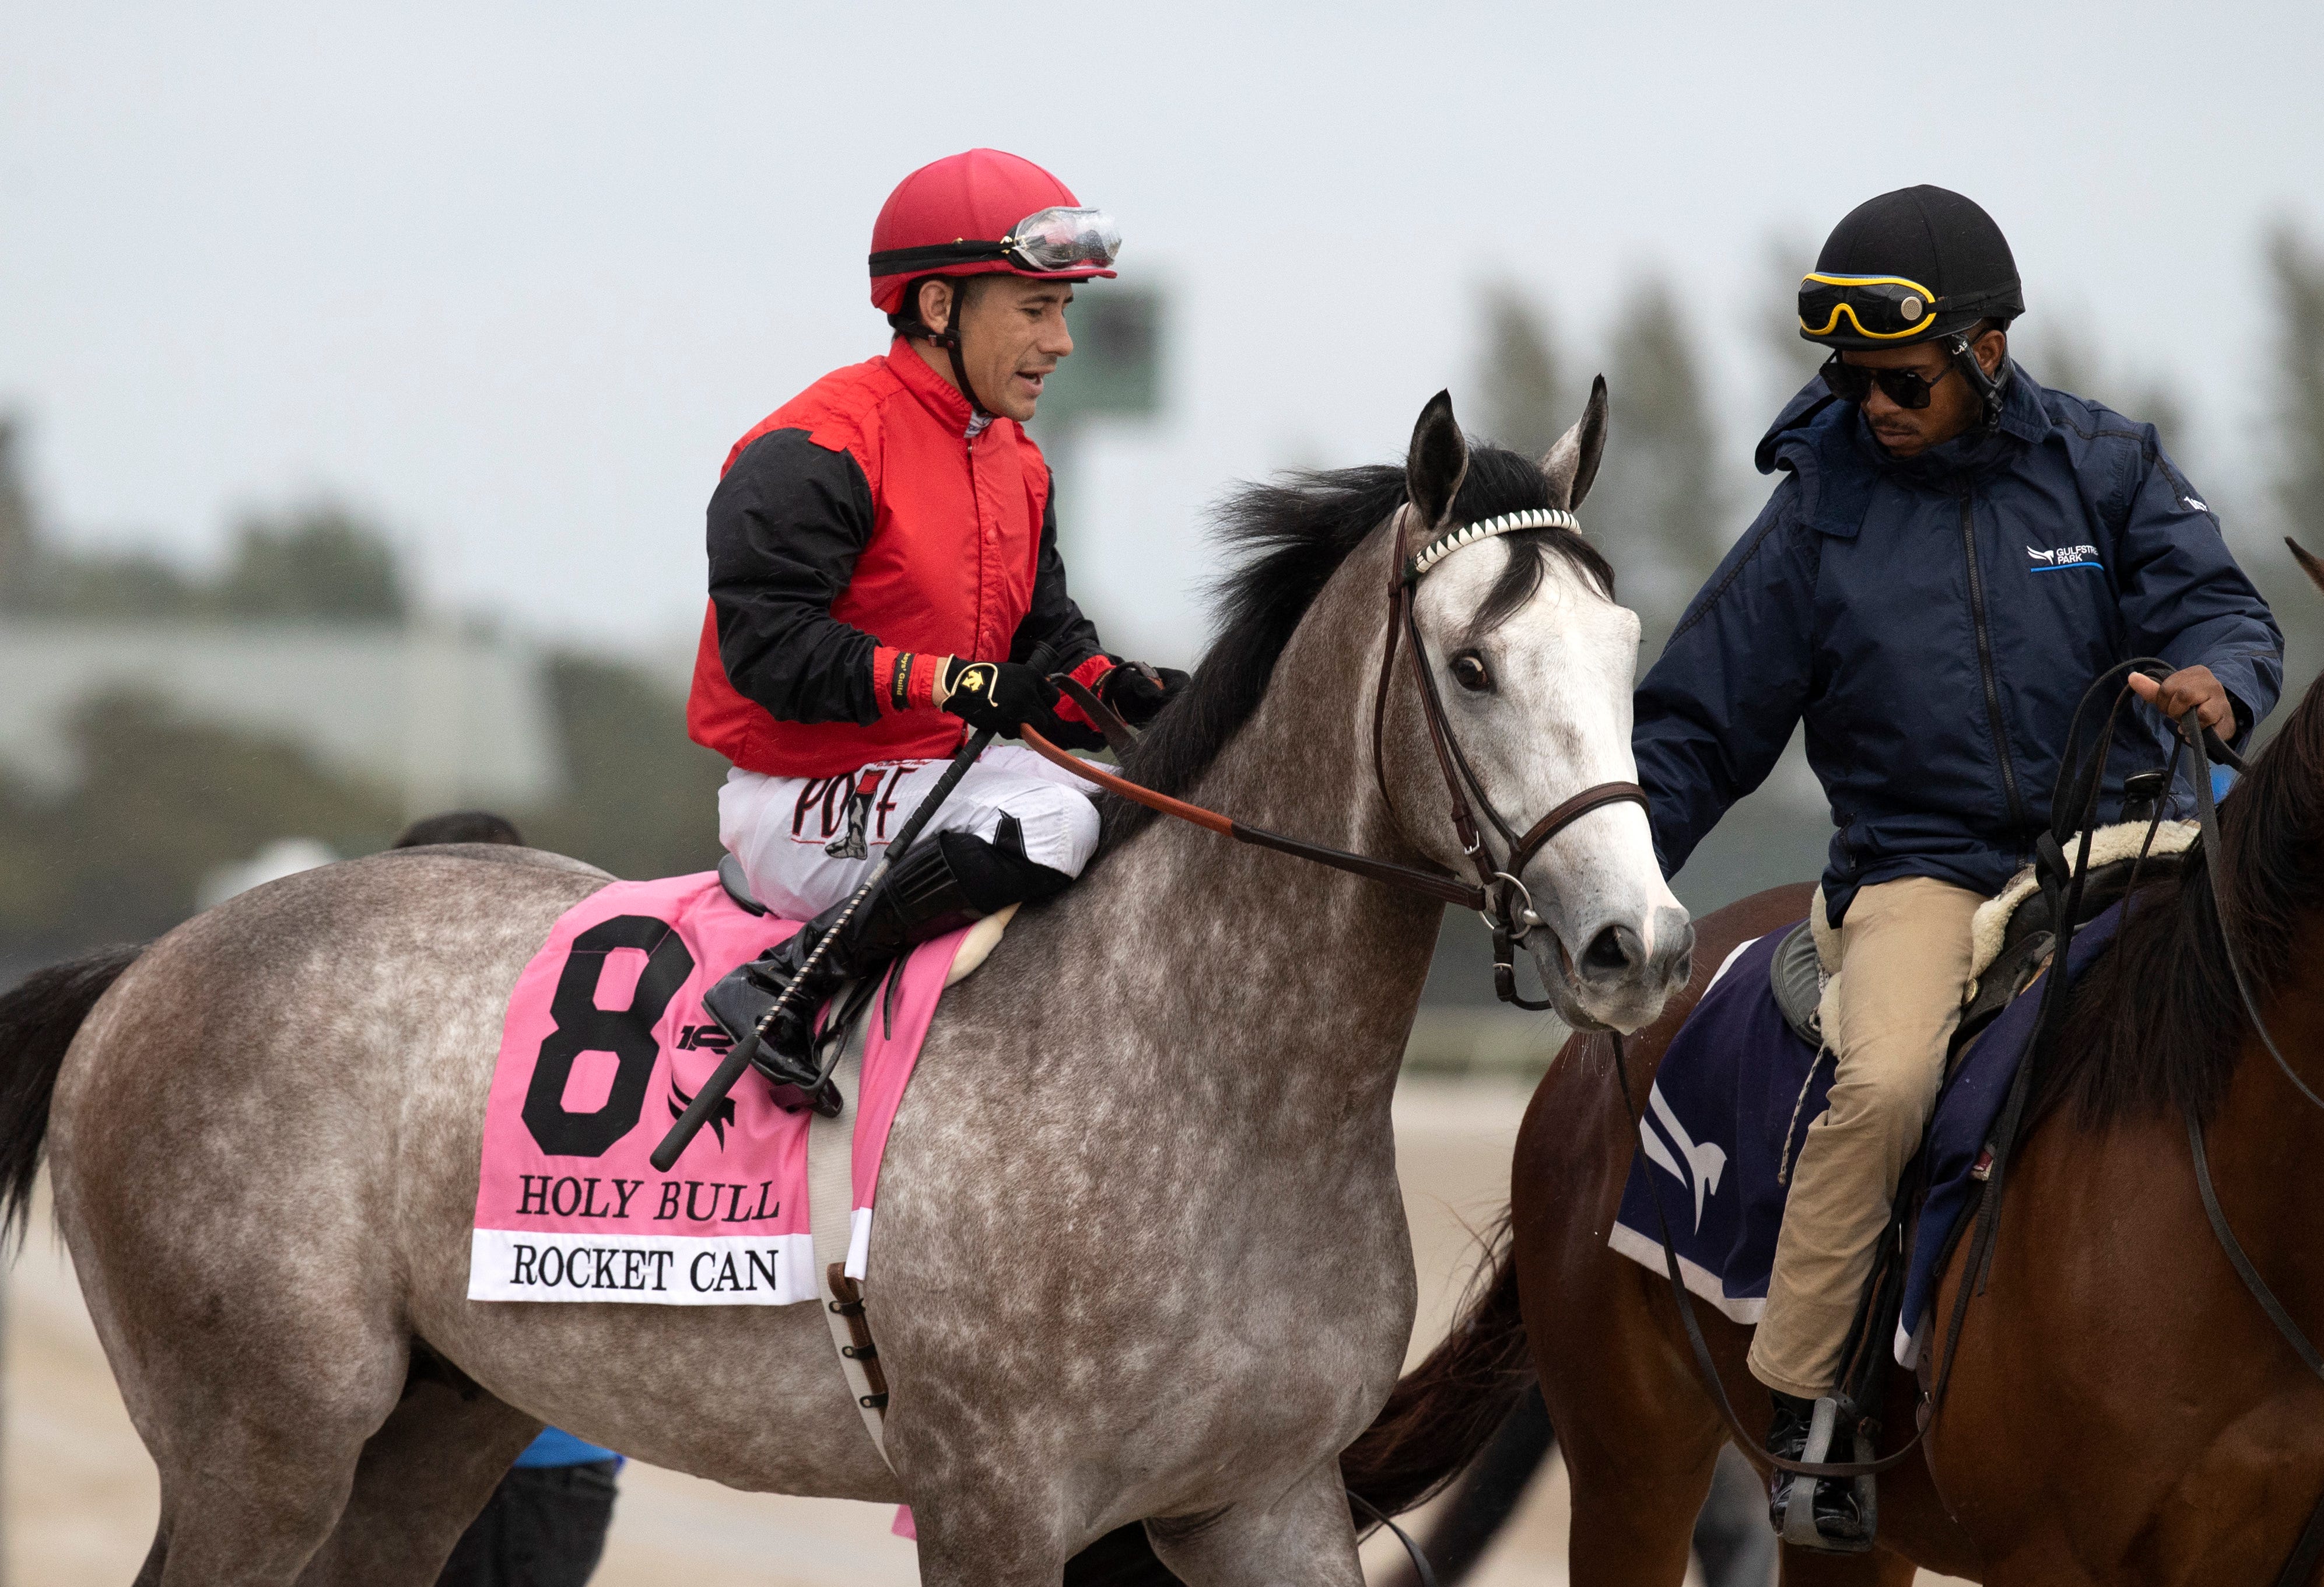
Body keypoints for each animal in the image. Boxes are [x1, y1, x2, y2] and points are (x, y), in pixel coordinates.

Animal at [0, 390, 1692, 1580]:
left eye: (1625, 645)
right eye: (1472, 665)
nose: (1643, 946)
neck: (1208, 1089)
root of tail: (149, 962)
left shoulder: (1263, 1500)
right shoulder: (995, 1504)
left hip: (438, 1419)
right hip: (265, 1434)